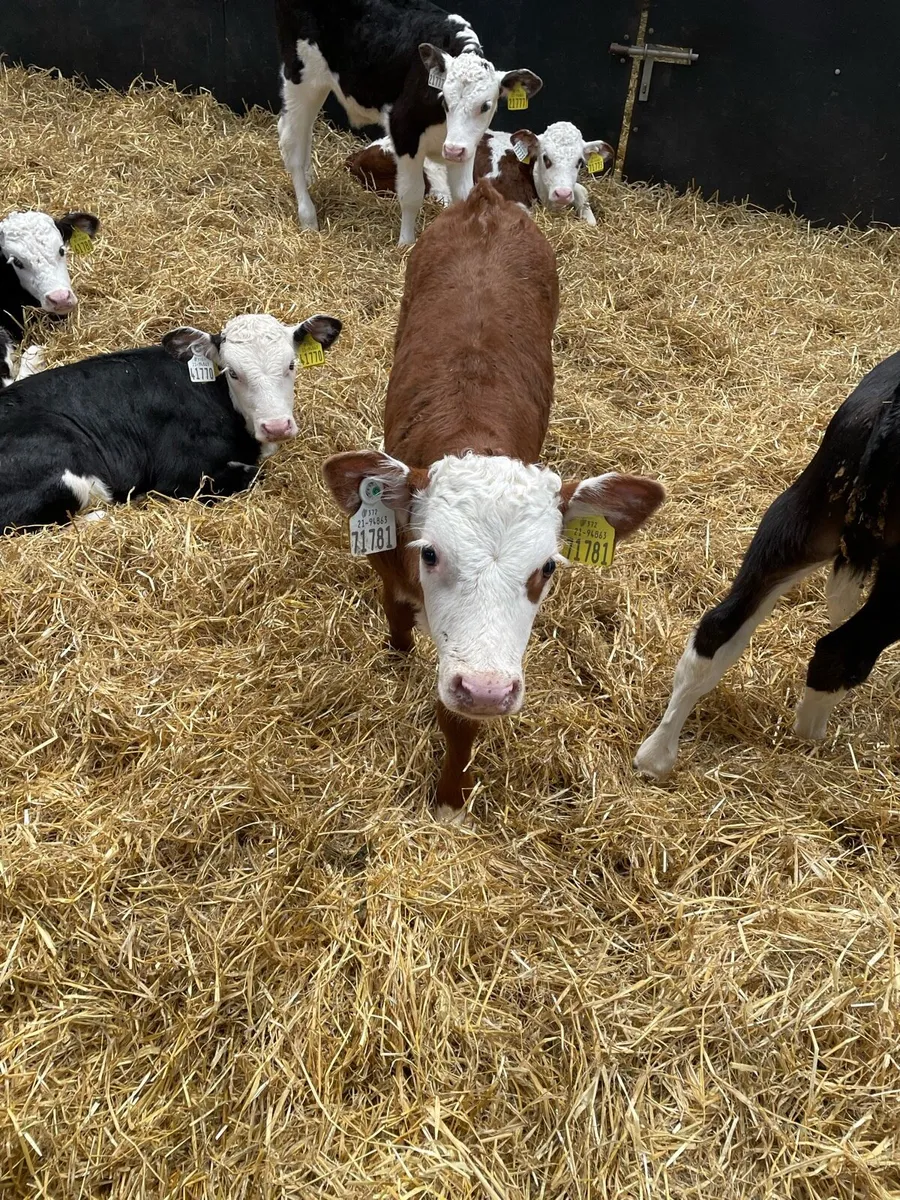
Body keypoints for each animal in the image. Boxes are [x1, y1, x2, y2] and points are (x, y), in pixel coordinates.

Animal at [275, 0, 542, 244]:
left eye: (485, 105)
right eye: (445, 100)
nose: (452, 150)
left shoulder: (466, 145)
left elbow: (464, 194)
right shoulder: (404, 131)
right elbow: (412, 194)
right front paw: (406, 244)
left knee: (300, 131)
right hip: (300, 75)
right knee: (292, 143)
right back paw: (308, 216)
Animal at [323, 180, 663, 820]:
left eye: (548, 567)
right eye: (430, 553)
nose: (487, 690)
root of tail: (485, 197)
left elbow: (458, 721)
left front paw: (450, 800)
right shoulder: (388, 557)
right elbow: (396, 615)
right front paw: (397, 660)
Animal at [347, 123, 615, 224]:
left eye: (579, 162)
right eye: (546, 158)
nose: (562, 193)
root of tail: (356, 155)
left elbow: (582, 191)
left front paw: (589, 220)